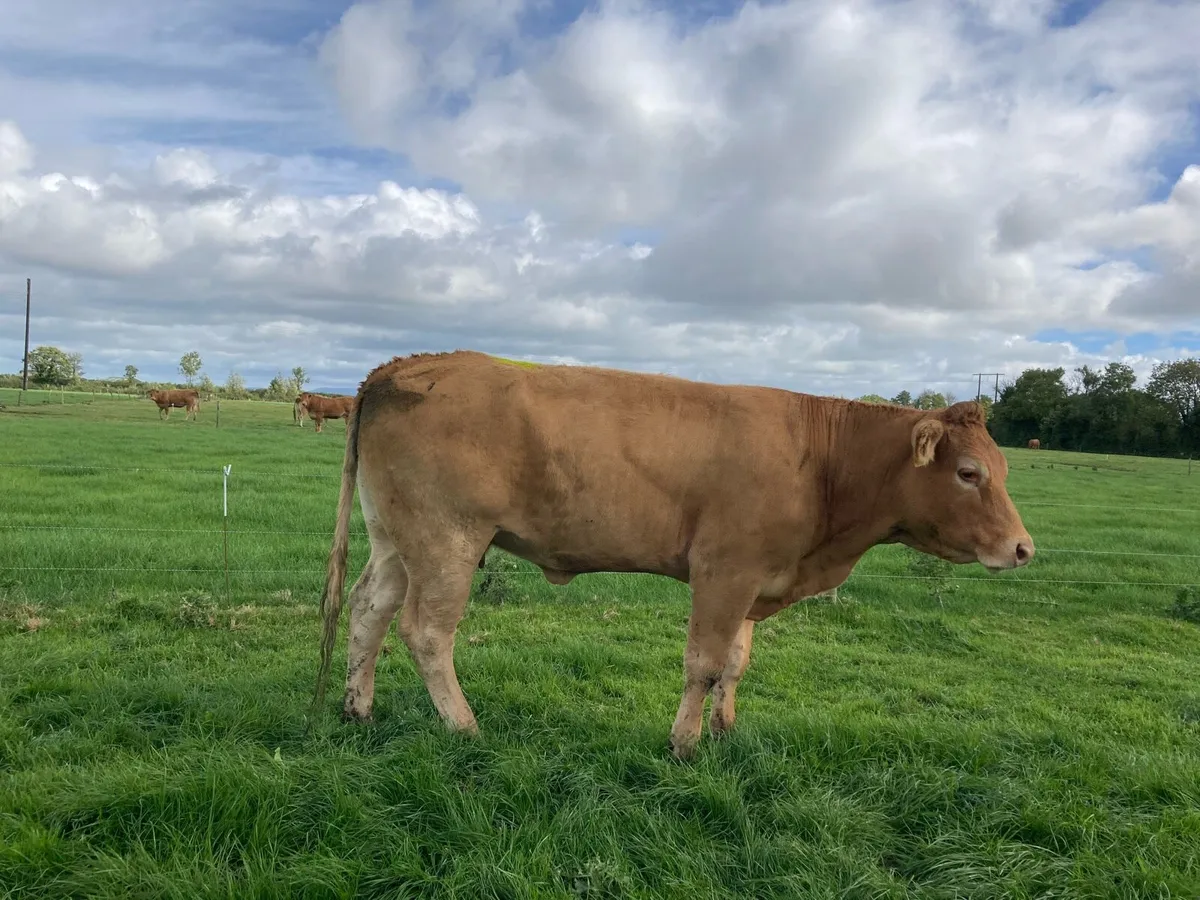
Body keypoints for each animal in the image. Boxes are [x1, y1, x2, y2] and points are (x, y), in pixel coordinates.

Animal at [313, 351, 1034, 759]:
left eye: (1003, 468)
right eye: (968, 473)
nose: (1023, 548)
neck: (820, 460)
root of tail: (398, 370)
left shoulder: (754, 578)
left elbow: (736, 664)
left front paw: (725, 732)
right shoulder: (723, 572)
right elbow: (705, 664)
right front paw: (684, 746)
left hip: (398, 540)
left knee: (369, 611)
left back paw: (357, 708)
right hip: (448, 540)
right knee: (425, 632)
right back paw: (463, 727)